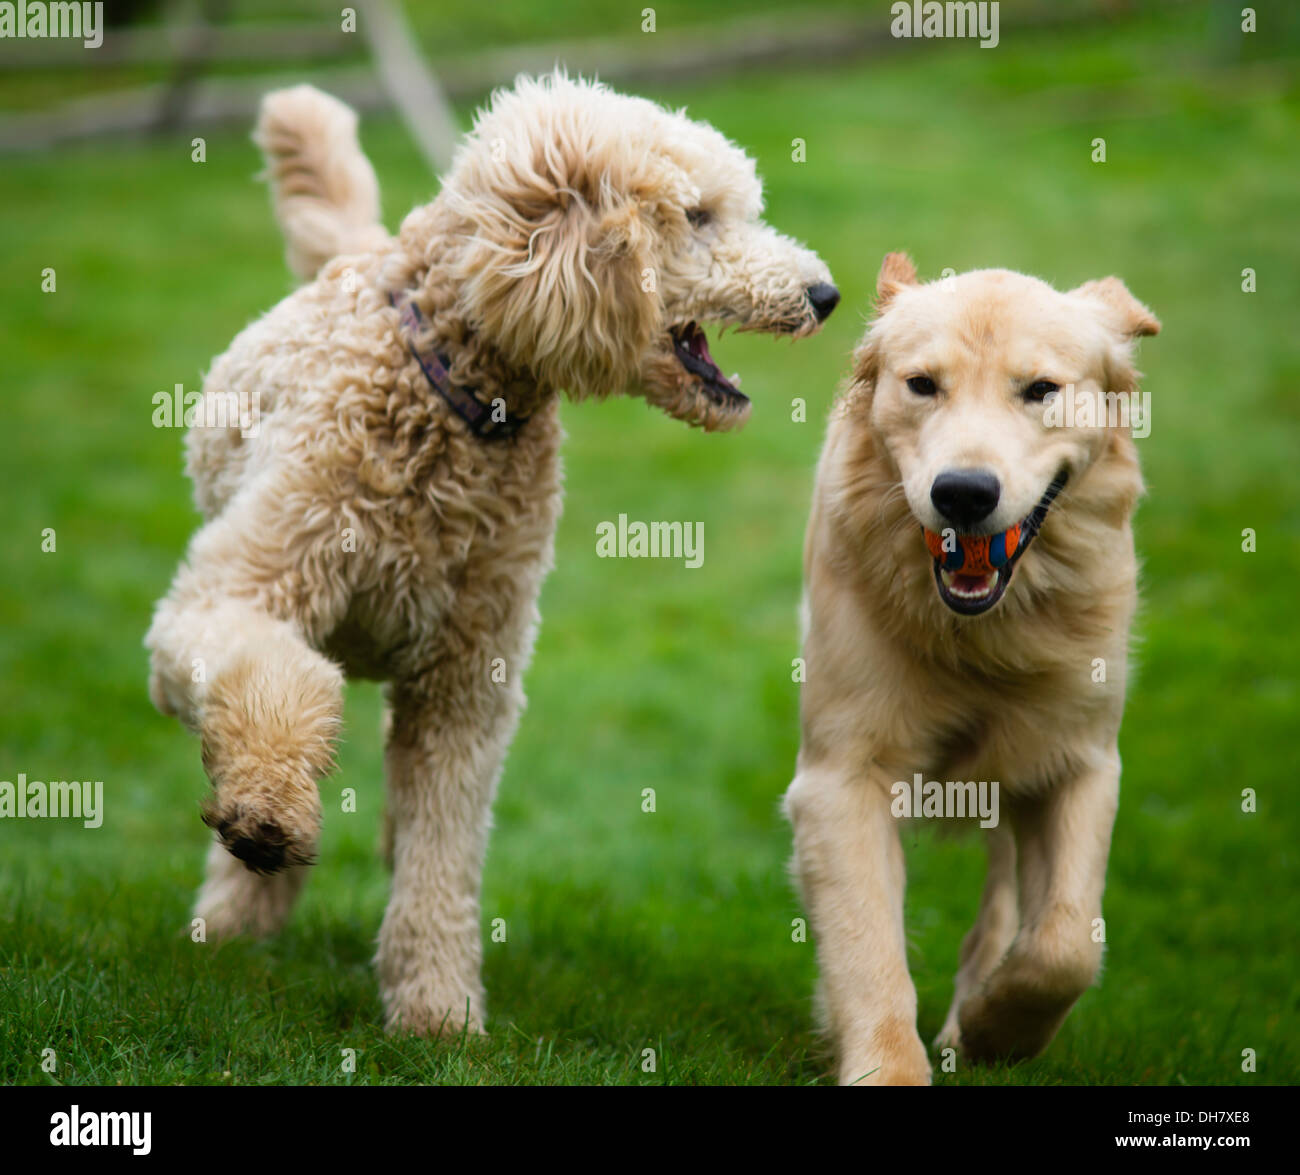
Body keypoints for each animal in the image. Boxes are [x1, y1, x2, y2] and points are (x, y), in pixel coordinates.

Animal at [147, 73, 837, 1034]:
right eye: (699, 215)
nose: (826, 293)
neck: (451, 398)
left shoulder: (466, 679)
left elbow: (445, 845)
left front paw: (438, 1011)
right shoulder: (231, 594)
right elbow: (274, 679)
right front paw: (271, 811)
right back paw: (236, 917)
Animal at [785, 254, 1164, 1081]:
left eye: (1041, 389)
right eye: (922, 384)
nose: (963, 493)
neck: (984, 633)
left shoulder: (1082, 761)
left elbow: (1065, 943)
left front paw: (997, 1026)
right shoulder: (841, 778)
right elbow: (869, 952)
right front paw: (890, 1062)